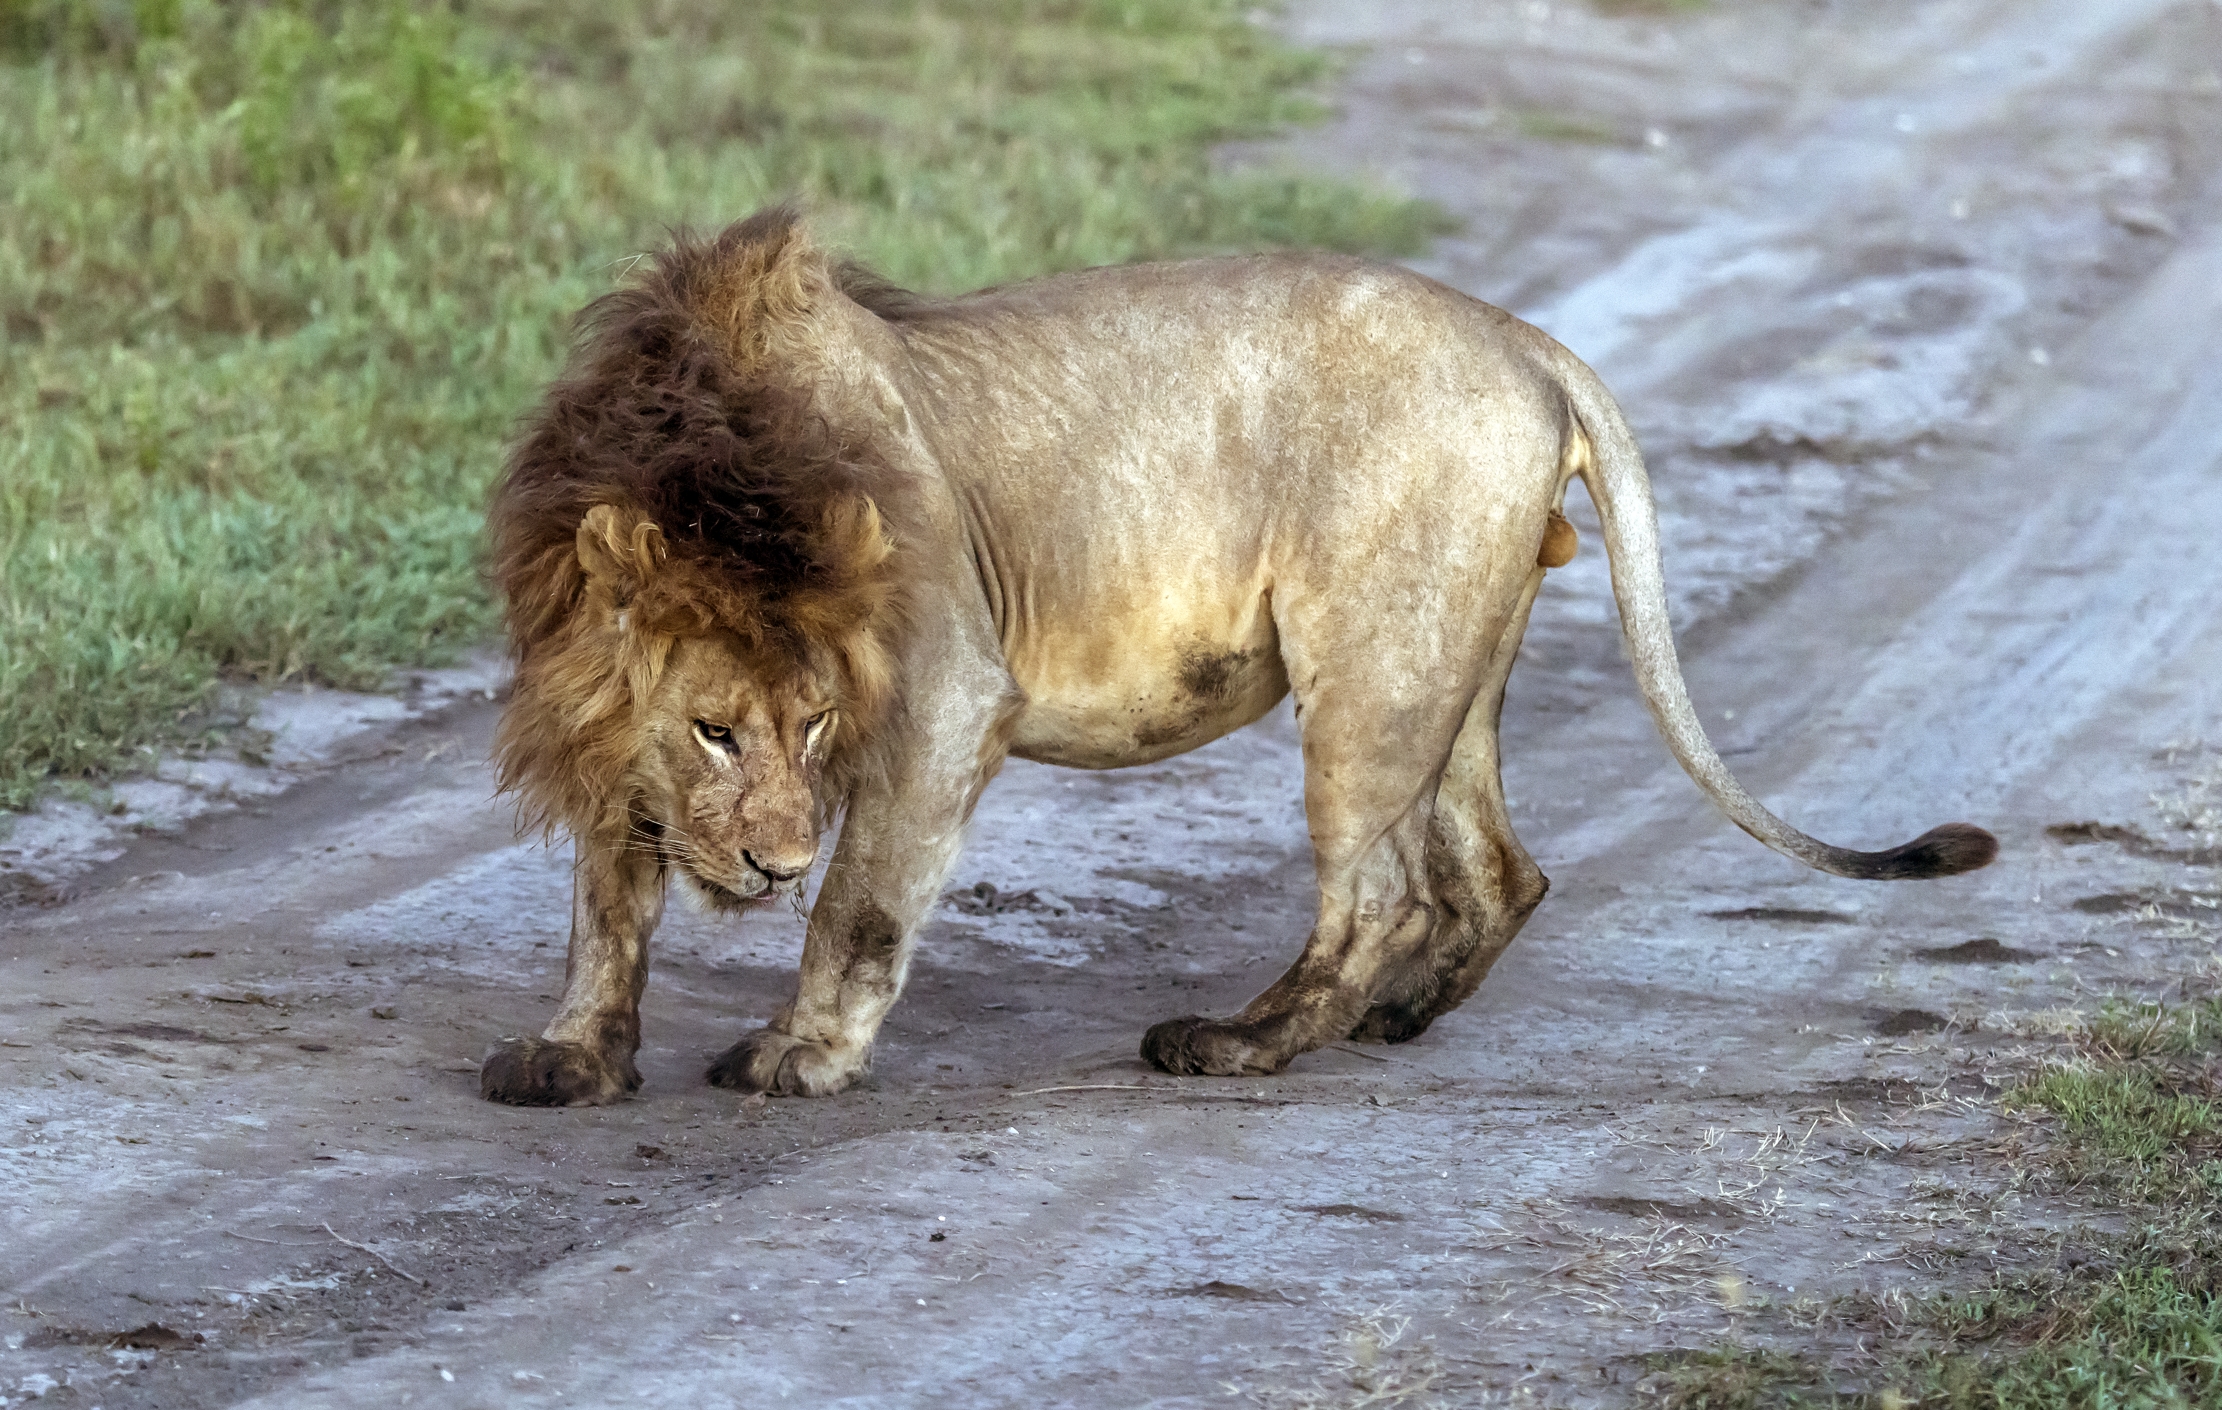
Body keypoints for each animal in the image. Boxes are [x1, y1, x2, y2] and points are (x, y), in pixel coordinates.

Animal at [478, 207, 1996, 1106]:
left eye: (809, 730)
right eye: (715, 729)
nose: (768, 862)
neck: (712, 452)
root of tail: (1521, 336)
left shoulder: (946, 692)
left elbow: (857, 906)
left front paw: (801, 1054)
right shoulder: (599, 718)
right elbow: (607, 900)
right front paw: (572, 1053)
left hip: (1369, 667)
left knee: (1380, 889)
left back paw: (1239, 1040)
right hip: (1451, 661)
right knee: (1493, 870)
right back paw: (1392, 1019)